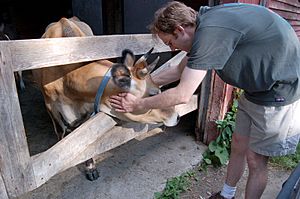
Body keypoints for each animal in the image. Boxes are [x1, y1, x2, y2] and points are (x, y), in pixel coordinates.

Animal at [31, 17, 179, 181]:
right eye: (153, 94)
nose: (177, 116)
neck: (66, 80)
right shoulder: (51, 106)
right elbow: (61, 133)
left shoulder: (88, 109)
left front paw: (90, 167)